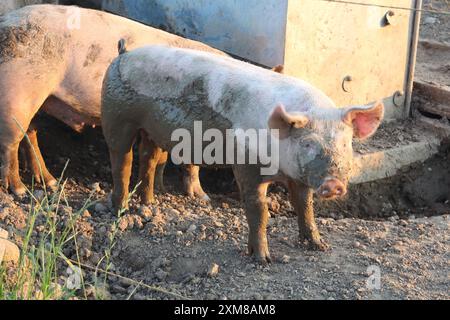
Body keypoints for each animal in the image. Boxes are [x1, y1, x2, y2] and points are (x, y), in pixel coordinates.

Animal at [0, 5, 230, 199]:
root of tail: (5, 21)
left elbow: (162, 159)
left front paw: (162, 189)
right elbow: (190, 163)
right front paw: (203, 198)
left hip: (37, 99)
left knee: (29, 133)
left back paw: (51, 182)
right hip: (18, 92)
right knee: (10, 142)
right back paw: (19, 190)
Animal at [102, 45, 384, 264]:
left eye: (345, 144)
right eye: (307, 144)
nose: (333, 184)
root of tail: (124, 53)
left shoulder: (299, 177)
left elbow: (305, 206)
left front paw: (320, 246)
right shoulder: (247, 164)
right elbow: (258, 210)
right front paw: (263, 260)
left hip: (151, 129)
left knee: (148, 158)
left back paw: (149, 205)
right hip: (116, 114)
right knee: (121, 159)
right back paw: (121, 210)